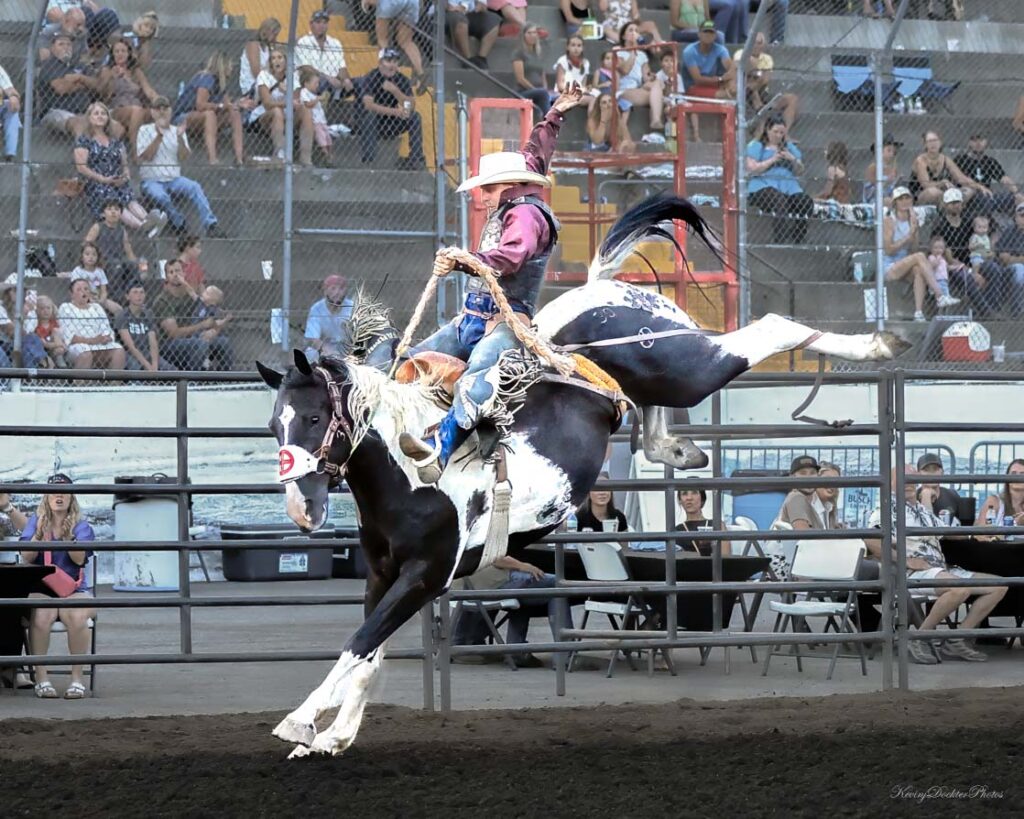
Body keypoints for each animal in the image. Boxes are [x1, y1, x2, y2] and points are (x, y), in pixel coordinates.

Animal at [257, 196, 909, 759]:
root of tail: (597, 286)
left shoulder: (425, 573)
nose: (300, 508)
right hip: (654, 381)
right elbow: (370, 650)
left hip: (685, 362)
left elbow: (360, 643)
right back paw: (681, 448)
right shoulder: (388, 573)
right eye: (273, 422)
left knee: (769, 327)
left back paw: (879, 342)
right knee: (653, 421)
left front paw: (301, 721)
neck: (412, 473)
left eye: (313, 417)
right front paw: (334, 736)